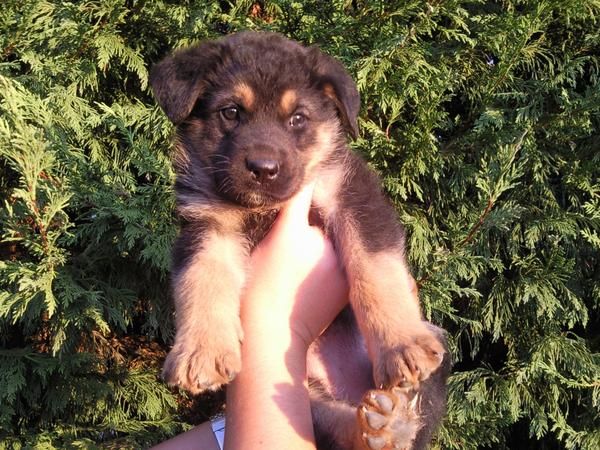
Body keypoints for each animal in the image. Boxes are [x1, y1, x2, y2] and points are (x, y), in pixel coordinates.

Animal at [150, 31, 450, 450]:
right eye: (231, 112)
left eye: (298, 119)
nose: (263, 169)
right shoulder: (208, 226)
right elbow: (203, 281)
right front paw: (201, 351)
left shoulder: (351, 194)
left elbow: (376, 271)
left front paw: (401, 344)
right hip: (306, 397)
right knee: (337, 428)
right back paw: (379, 426)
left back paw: (393, 424)